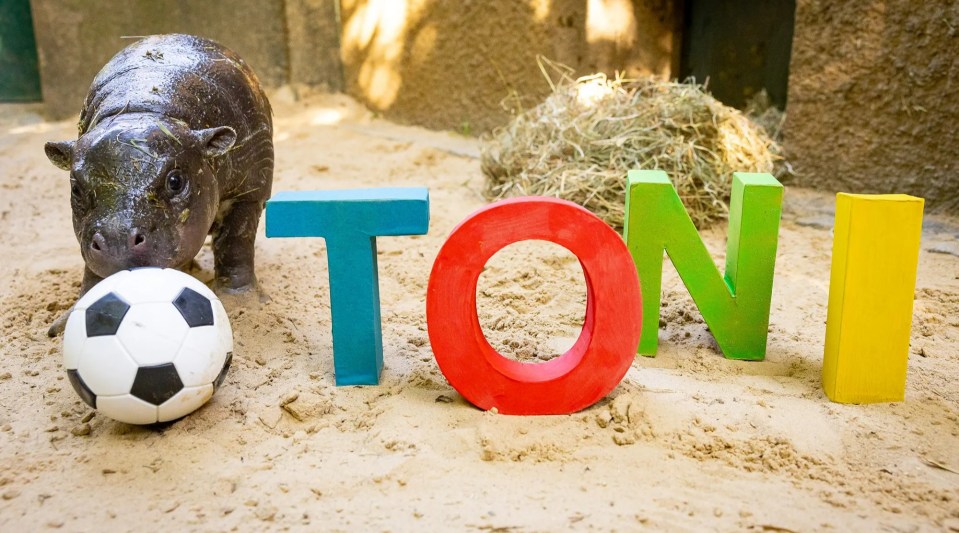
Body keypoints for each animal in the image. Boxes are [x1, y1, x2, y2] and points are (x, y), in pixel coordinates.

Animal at [46, 33, 274, 334]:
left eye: (175, 181)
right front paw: (63, 325)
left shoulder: (249, 192)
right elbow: (92, 272)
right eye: (76, 189)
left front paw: (243, 306)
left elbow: (236, 243)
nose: (117, 239)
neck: (146, 109)